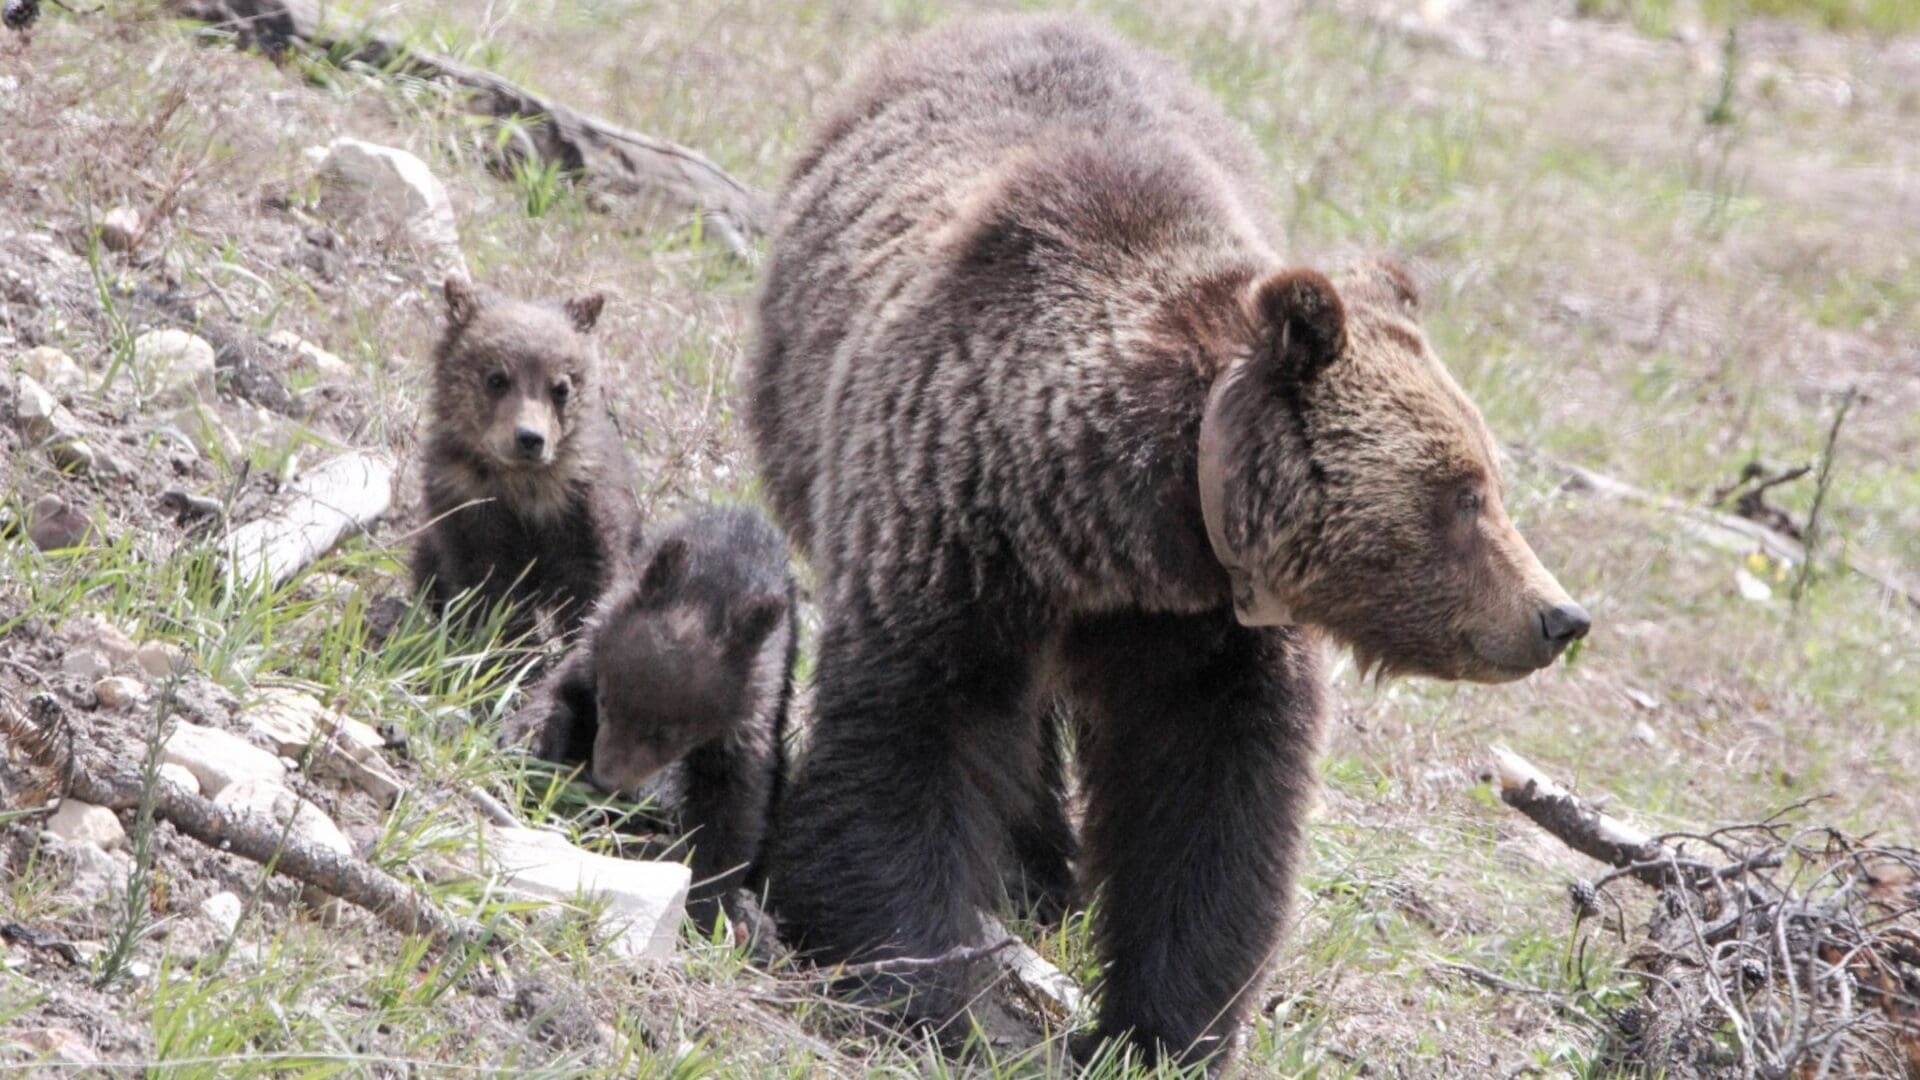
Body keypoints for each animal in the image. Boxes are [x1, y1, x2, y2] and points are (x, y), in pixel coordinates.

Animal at [411, 276, 634, 643]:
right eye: (496, 378)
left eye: (561, 387)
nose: (530, 438)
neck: (522, 483)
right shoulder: (468, 499)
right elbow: (487, 585)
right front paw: (506, 644)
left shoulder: (578, 502)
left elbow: (593, 579)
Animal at [509, 504, 797, 931]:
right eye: (606, 701)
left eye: (668, 733)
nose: (607, 779)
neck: (714, 586)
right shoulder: (596, 642)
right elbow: (560, 692)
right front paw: (526, 742)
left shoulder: (746, 721)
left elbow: (732, 808)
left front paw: (708, 900)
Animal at [745, 14, 1590, 1067]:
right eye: (1464, 493)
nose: (1559, 615)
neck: (1118, 531)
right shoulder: (951, 532)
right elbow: (911, 739)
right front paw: (925, 990)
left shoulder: (1215, 636)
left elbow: (1210, 810)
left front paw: (1162, 1028)